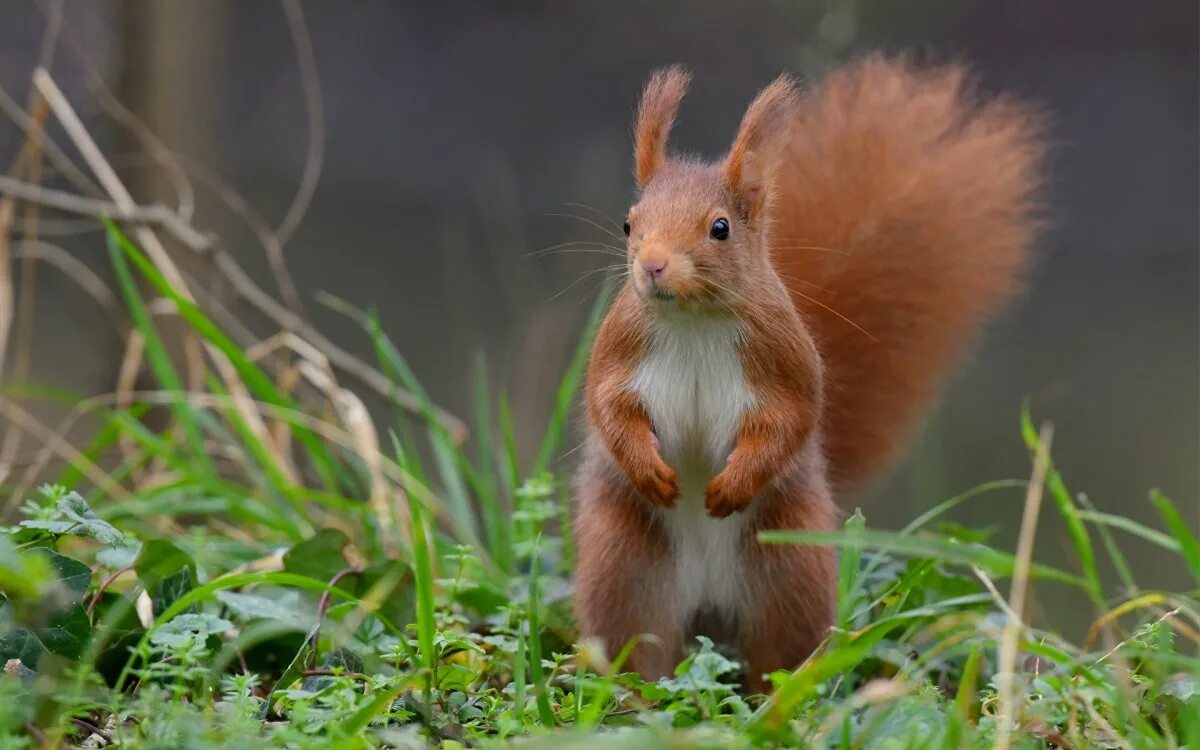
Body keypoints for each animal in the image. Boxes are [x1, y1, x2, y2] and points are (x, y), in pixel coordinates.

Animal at [568, 57, 1041, 691]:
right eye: (628, 223)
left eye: (720, 228)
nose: (652, 266)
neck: (693, 319)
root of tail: (708, 611)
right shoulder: (620, 349)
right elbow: (609, 407)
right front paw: (649, 471)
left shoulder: (783, 360)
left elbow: (789, 420)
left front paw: (732, 485)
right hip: (624, 569)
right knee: (636, 648)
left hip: (788, 571)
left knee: (780, 655)